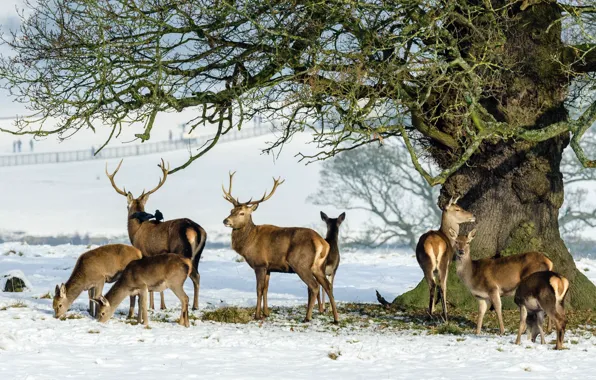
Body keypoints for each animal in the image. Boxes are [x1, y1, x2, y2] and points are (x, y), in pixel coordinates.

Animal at [106, 159, 208, 310]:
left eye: (126, 206)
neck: (135, 231)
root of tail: (194, 229)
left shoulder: (144, 252)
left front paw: (152, 306)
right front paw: (161, 306)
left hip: (181, 249)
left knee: (192, 276)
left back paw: (192, 305)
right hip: (198, 253)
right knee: (198, 276)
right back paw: (196, 305)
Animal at [222, 173, 340, 324]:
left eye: (242, 213)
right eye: (231, 210)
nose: (226, 221)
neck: (249, 241)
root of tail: (321, 242)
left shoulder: (260, 264)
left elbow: (258, 289)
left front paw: (257, 315)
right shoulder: (269, 267)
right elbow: (266, 289)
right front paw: (266, 313)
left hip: (300, 263)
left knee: (314, 286)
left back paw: (307, 317)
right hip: (318, 266)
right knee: (328, 286)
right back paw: (336, 318)